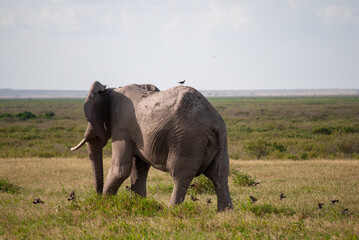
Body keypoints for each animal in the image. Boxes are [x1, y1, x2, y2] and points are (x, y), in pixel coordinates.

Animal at [71, 81, 233, 212]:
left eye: (89, 119)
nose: (97, 194)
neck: (111, 90)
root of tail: (213, 119)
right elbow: (139, 169)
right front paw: (138, 204)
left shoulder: (121, 126)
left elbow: (121, 169)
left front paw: (104, 205)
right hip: (220, 139)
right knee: (219, 175)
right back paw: (224, 213)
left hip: (186, 140)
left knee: (180, 175)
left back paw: (171, 211)